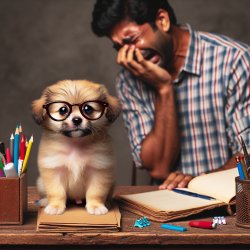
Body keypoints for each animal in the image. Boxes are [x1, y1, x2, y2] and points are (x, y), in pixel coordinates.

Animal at [31, 79, 121, 215]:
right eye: (63, 110)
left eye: (88, 109)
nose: (77, 120)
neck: (75, 144)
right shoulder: (54, 171)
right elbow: (57, 192)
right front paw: (55, 206)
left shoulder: (99, 171)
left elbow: (95, 192)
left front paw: (96, 206)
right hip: (41, 183)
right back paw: (45, 201)